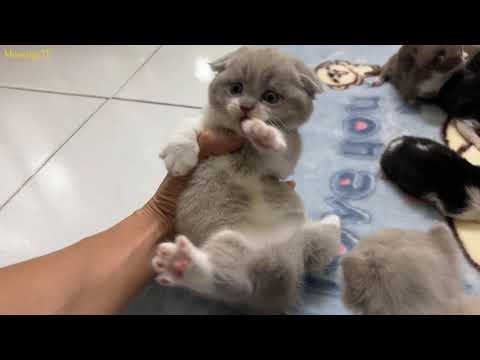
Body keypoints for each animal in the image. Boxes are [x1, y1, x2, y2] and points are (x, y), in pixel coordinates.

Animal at [150, 47, 342, 312]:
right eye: (236, 88)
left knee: (237, 282)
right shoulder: (209, 127)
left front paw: (263, 132)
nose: (246, 107)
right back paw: (183, 263)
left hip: (303, 243)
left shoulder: (281, 164)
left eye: (271, 97)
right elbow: (189, 123)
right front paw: (179, 153)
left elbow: (279, 151)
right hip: (234, 243)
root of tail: (285, 266)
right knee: (233, 281)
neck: (242, 146)